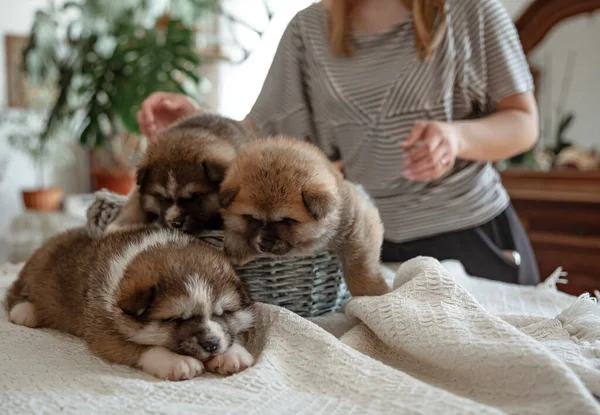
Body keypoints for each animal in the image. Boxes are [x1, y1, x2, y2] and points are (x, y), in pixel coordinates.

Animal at [3, 226, 254, 382]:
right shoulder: (103, 331)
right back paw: (25, 312)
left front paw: (233, 354)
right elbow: (140, 347)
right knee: (13, 294)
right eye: (174, 319)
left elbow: (234, 334)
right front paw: (177, 362)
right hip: (34, 270)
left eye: (223, 312)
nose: (211, 344)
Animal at [218, 138, 392, 298]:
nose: (264, 242)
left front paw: (375, 294)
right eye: (251, 218)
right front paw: (237, 246)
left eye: (286, 221)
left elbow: (359, 267)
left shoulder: (357, 223)